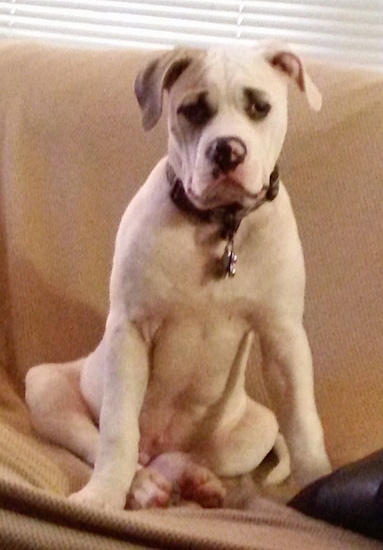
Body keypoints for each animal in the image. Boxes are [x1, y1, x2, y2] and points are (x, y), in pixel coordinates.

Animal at [26, 43, 332, 512]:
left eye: (259, 107)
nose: (228, 151)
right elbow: (117, 432)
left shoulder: (284, 339)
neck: (220, 225)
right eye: (193, 110)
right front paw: (103, 495)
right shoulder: (130, 332)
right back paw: (143, 484)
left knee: (183, 455)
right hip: (44, 387)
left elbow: (303, 424)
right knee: (108, 442)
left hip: (256, 427)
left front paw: (320, 485)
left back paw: (194, 479)